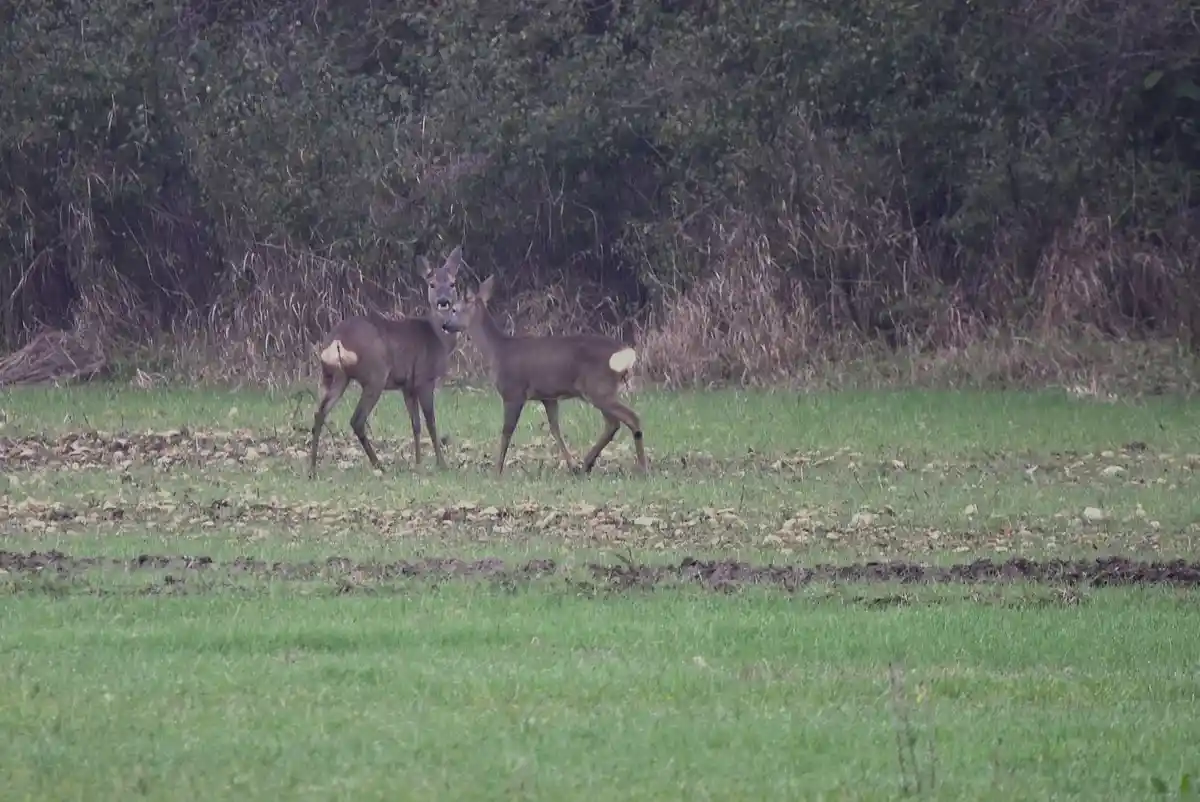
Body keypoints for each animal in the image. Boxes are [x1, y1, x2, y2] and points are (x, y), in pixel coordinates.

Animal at [308, 245, 466, 478]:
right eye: (432, 284)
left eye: (452, 283)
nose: (443, 301)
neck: (438, 338)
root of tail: (336, 339)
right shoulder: (424, 378)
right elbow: (431, 422)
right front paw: (441, 464)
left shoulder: (407, 386)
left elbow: (415, 424)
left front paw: (418, 463)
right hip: (375, 374)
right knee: (357, 420)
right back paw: (379, 465)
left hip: (334, 376)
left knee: (319, 413)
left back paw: (312, 468)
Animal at [444, 274, 648, 476]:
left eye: (454, 309)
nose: (445, 324)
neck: (497, 351)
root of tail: (624, 353)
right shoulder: (548, 397)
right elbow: (555, 428)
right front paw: (571, 465)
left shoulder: (513, 392)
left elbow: (506, 432)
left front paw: (497, 470)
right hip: (600, 389)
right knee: (613, 423)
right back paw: (586, 465)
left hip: (598, 387)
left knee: (630, 418)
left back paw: (642, 468)